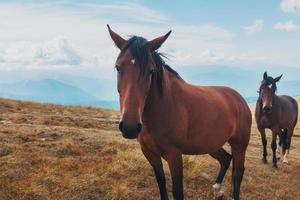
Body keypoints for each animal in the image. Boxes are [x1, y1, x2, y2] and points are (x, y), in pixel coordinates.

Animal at [106, 25, 252, 200]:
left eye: (151, 71)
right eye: (118, 67)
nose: (130, 127)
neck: (163, 107)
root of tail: (239, 98)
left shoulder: (174, 155)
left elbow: (177, 191)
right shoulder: (149, 153)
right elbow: (161, 182)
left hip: (239, 145)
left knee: (238, 173)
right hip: (212, 144)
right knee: (225, 159)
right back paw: (217, 189)